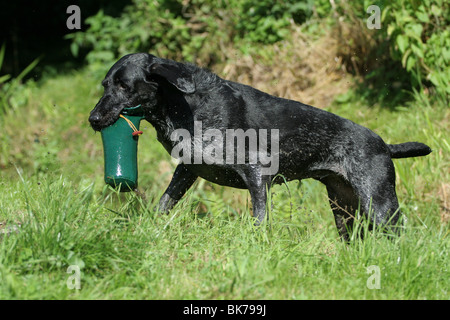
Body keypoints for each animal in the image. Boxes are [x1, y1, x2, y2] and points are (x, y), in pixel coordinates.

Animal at [89, 53, 430, 240]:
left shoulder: (256, 170)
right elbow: (164, 203)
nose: (92, 118)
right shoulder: (187, 169)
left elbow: (260, 217)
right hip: (344, 210)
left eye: (124, 85)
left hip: (379, 202)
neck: (185, 106)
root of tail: (384, 144)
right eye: (105, 85)